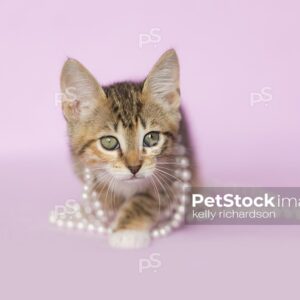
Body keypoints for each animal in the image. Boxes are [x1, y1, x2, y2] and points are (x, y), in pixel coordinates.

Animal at [60, 49, 190, 248]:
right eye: (108, 142)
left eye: (152, 138)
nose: (134, 167)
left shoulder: (170, 171)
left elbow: (146, 200)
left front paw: (127, 231)